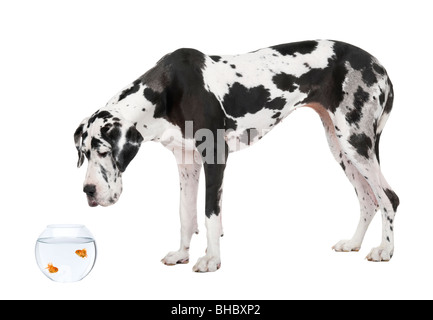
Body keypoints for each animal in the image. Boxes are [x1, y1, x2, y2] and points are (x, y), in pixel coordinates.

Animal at [73, 38, 398, 272]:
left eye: (103, 150)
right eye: (84, 154)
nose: (88, 190)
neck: (167, 91)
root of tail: (379, 65)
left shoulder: (215, 156)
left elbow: (210, 215)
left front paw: (211, 260)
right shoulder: (186, 163)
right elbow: (185, 214)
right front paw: (182, 254)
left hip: (356, 142)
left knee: (388, 197)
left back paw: (386, 250)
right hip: (340, 145)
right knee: (369, 199)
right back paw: (354, 243)